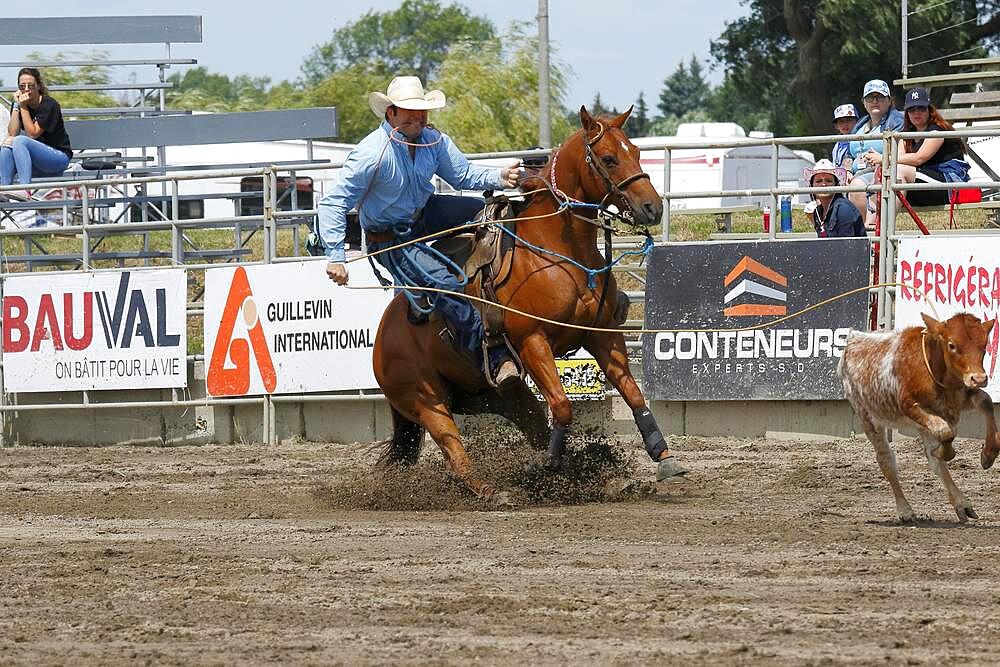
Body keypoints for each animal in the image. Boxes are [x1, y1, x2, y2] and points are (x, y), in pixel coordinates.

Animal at [372, 105, 684, 500]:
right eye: (609, 158)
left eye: (638, 153)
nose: (652, 208)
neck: (557, 251)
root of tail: (383, 335)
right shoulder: (532, 342)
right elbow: (563, 406)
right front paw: (547, 465)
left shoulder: (601, 334)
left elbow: (633, 393)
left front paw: (664, 458)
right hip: (426, 400)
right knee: (454, 452)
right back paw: (493, 491)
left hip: (501, 395)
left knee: (530, 420)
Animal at [836, 314, 1000, 520]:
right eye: (952, 345)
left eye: (984, 344)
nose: (979, 378)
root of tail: (853, 338)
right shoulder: (910, 407)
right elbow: (945, 433)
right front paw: (943, 451)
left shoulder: (960, 396)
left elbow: (986, 402)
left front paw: (989, 454)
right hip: (868, 416)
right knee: (886, 460)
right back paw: (905, 510)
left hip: (921, 423)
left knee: (934, 461)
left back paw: (962, 504)